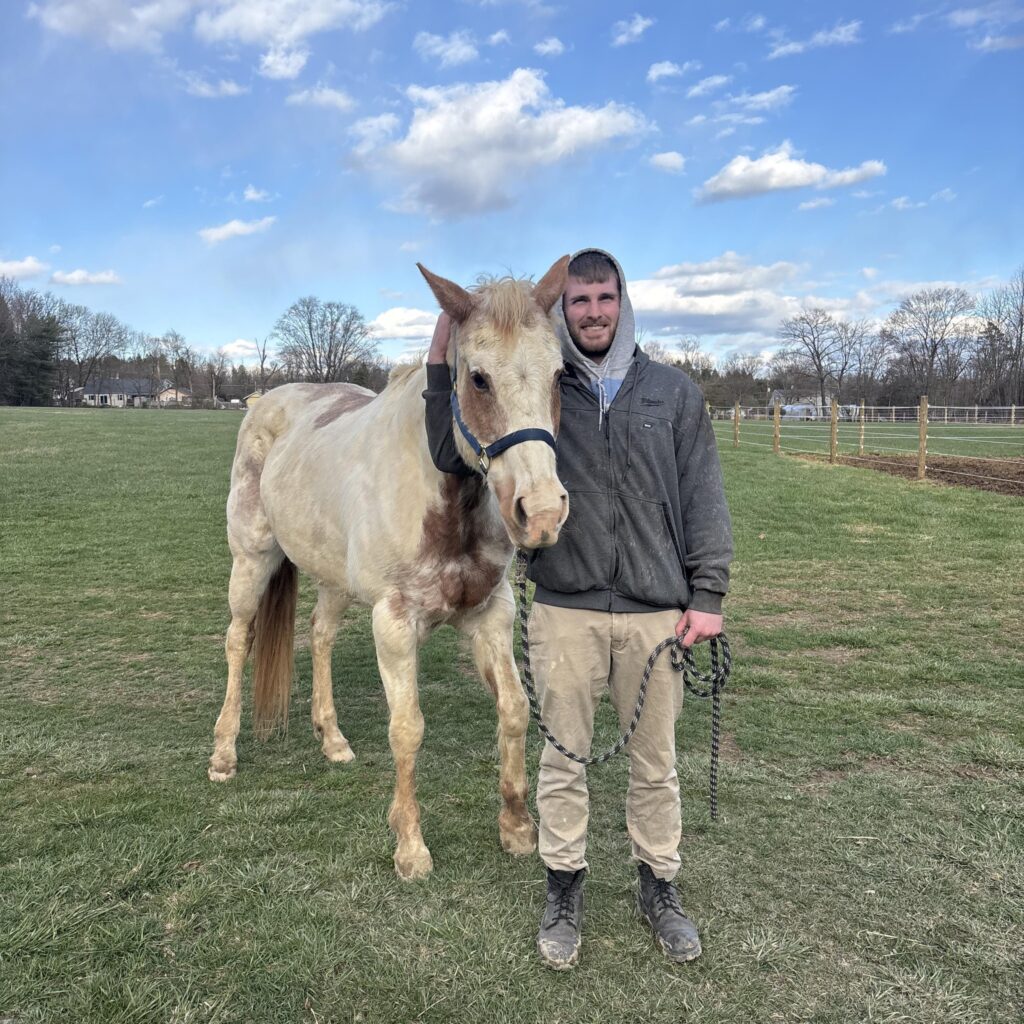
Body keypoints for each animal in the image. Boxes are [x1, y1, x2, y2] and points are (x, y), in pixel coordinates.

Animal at [208, 257, 571, 879]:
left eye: (559, 375)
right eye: (478, 378)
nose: (542, 513)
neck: (442, 499)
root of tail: (265, 404)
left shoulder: (491, 614)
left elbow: (515, 711)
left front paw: (518, 828)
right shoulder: (394, 624)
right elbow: (407, 729)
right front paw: (410, 846)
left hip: (332, 579)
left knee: (320, 636)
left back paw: (332, 739)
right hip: (251, 562)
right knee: (239, 639)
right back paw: (224, 752)